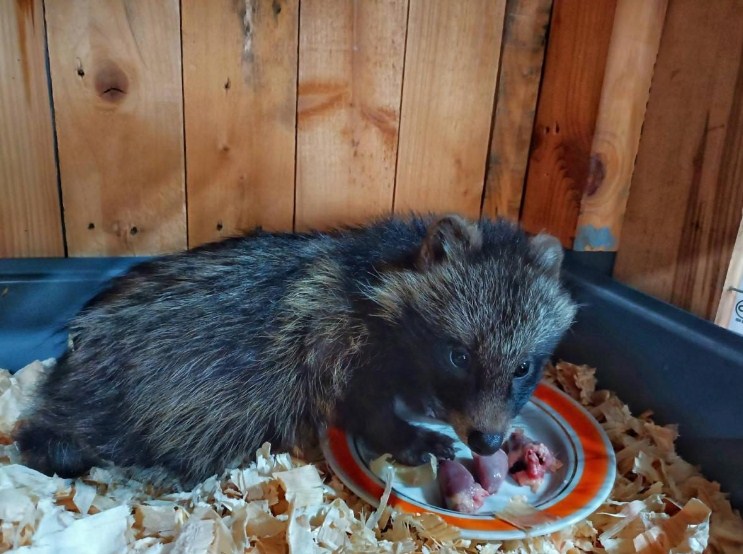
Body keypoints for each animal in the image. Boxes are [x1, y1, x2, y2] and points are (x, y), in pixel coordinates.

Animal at [14, 213, 580, 480]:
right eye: (458, 355)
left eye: (523, 367)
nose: (487, 441)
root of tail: (75, 358)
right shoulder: (334, 341)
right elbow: (363, 406)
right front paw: (405, 434)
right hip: (136, 393)